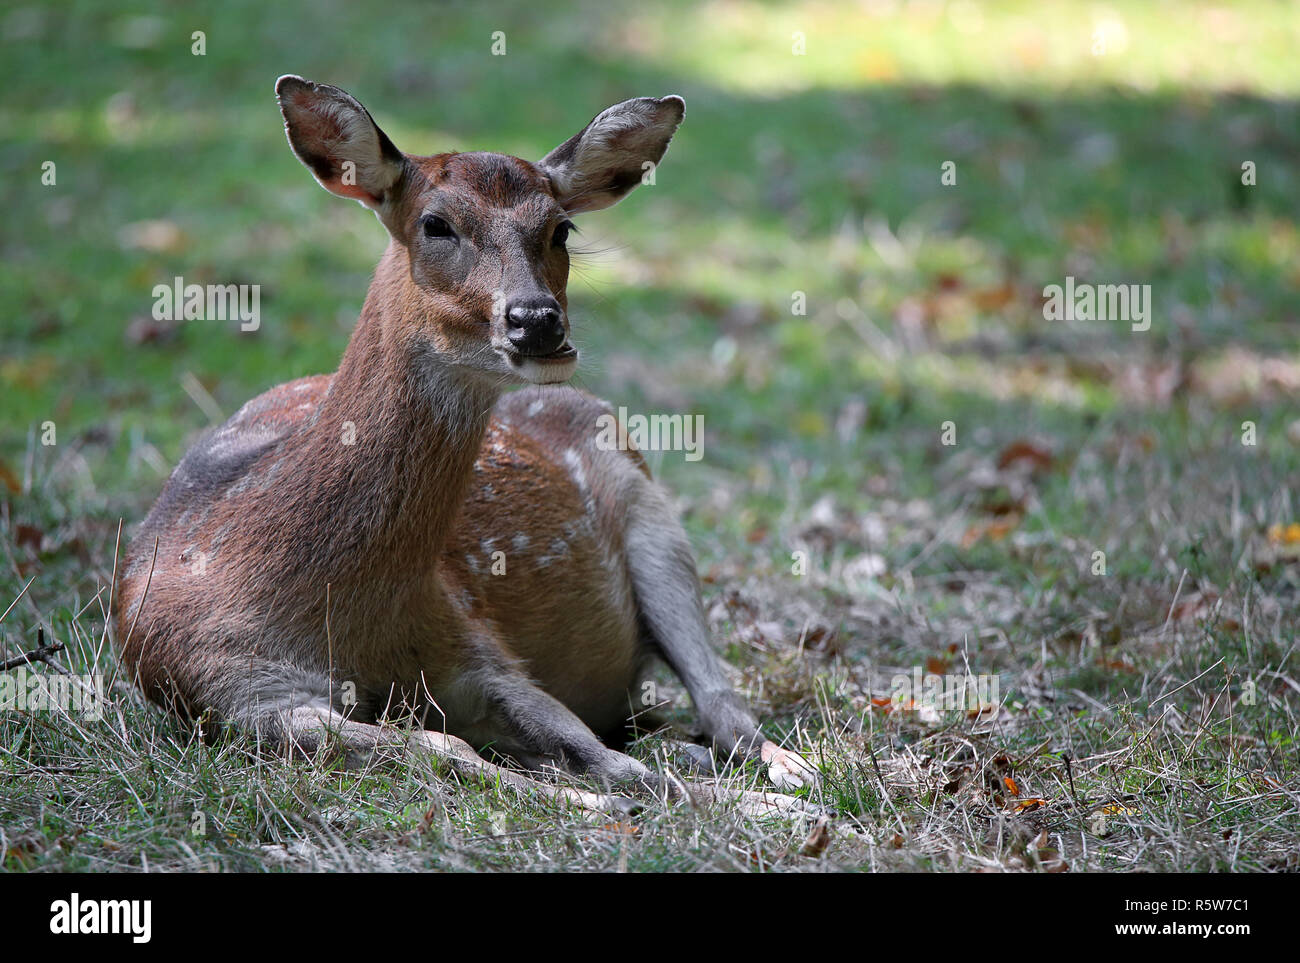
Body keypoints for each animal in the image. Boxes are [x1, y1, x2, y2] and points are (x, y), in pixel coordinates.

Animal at [116, 75, 816, 816]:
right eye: (436, 224)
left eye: (561, 227)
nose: (538, 321)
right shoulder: (235, 690)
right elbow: (445, 749)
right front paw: (597, 802)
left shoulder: (476, 643)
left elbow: (609, 761)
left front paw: (766, 808)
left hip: (654, 518)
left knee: (721, 705)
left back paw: (794, 772)